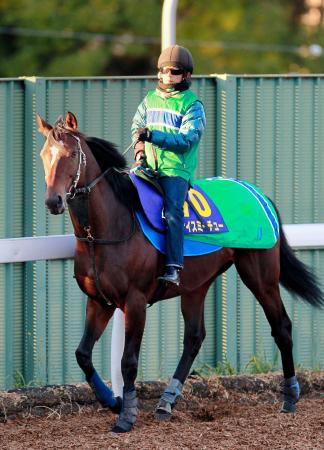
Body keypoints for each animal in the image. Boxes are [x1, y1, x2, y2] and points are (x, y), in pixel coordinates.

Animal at [37, 111, 324, 432]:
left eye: (72, 155)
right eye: (44, 156)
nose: (53, 201)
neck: (109, 227)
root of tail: (258, 193)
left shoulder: (135, 301)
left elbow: (128, 361)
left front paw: (126, 416)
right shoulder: (100, 301)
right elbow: (83, 354)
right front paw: (113, 402)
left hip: (260, 275)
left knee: (282, 327)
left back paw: (290, 397)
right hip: (196, 284)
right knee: (194, 337)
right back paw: (166, 401)